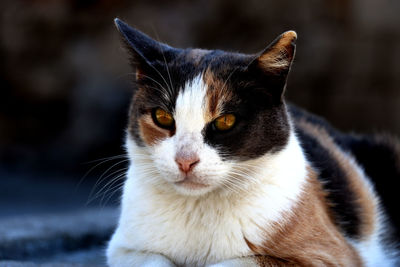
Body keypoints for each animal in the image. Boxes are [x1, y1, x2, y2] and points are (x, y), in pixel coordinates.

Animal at [107, 17, 400, 266]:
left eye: (225, 121)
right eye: (162, 117)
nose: (185, 161)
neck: (198, 207)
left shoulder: (327, 256)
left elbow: (232, 261)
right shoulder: (124, 249)